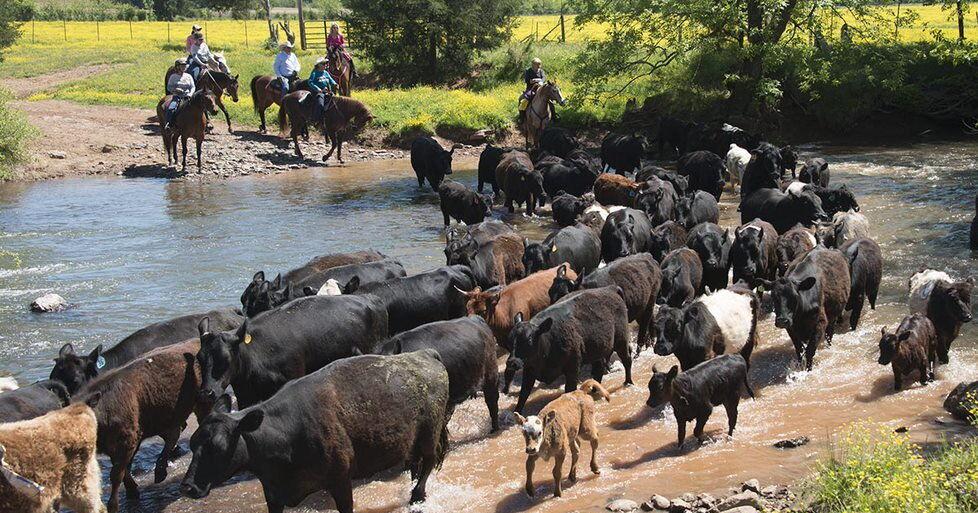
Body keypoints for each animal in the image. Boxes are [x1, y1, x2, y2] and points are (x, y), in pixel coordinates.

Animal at [181, 351, 450, 513]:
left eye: (218, 446)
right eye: (193, 444)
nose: (188, 487)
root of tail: (424, 354)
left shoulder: (340, 480)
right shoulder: (273, 493)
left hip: (429, 435)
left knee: (428, 463)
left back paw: (417, 496)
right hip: (412, 442)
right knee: (415, 464)